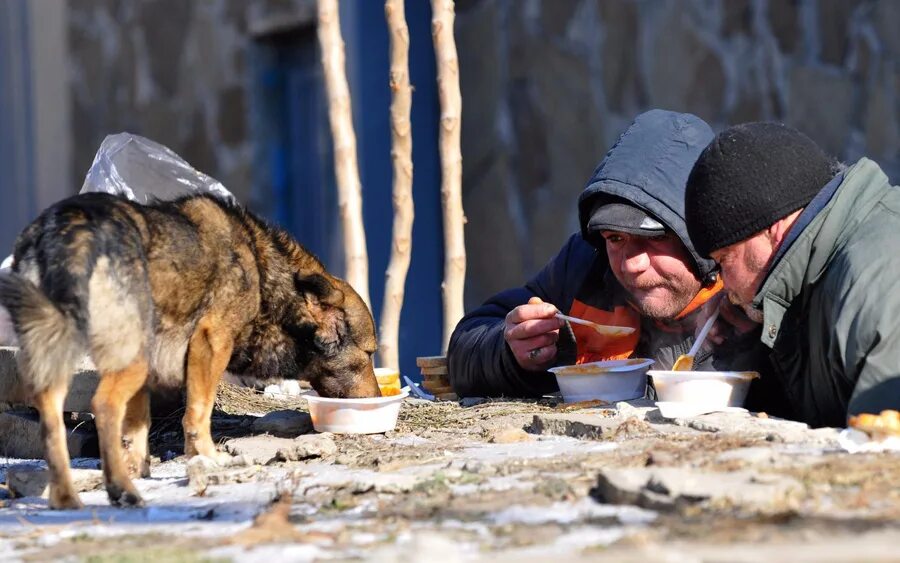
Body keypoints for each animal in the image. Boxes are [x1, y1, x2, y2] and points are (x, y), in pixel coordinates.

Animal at [0, 194, 380, 512]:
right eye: (369, 353)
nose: (377, 400)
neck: (264, 273)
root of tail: (66, 229)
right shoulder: (211, 342)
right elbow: (198, 413)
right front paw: (207, 458)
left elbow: (137, 426)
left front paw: (139, 467)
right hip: (130, 358)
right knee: (104, 406)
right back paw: (120, 489)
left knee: (52, 421)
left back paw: (66, 498)